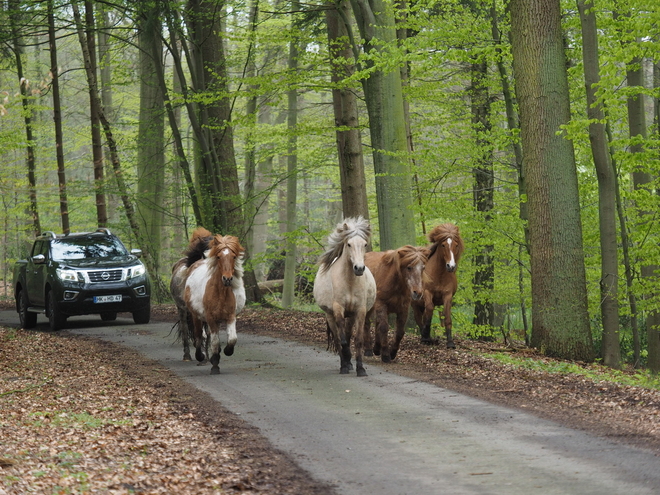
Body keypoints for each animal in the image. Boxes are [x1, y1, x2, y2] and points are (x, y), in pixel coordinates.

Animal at [170, 228, 211, 360]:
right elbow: (199, 332)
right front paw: (201, 354)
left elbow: (208, 332)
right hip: (181, 310)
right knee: (185, 328)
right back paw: (187, 355)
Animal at [183, 234, 245, 374]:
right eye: (218, 257)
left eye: (233, 256)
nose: (227, 279)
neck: (220, 293)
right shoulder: (210, 318)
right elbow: (214, 342)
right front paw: (215, 365)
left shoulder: (230, 316)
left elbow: (232, 339)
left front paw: (227, 351)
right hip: (197, 316)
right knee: (199, 336)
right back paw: (200, 356)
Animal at [314, 216, 376, 376]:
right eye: (348, 244)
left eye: (364, 244)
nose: (359, 268)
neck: (349, 282)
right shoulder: (338, 310)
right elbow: (342, 341)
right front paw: (346, 362)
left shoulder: (360, 311)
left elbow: (357, 340)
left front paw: (361, 368)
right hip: (330, 315)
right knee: (338, 339)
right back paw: (344, 365)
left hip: (351, 315)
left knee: (347, 335)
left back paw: (348, 363)